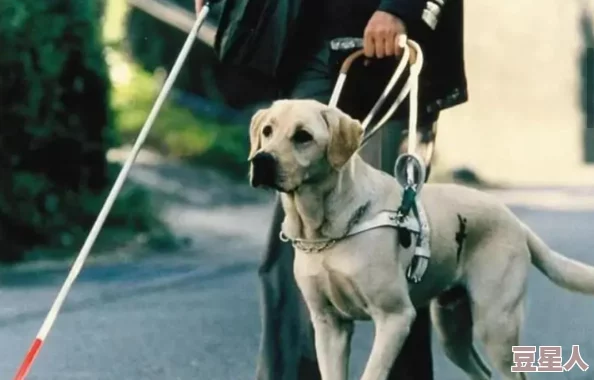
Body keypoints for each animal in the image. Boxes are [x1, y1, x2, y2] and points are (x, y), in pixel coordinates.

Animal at [245, 98, 592, 380]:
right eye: (268, 131)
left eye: (303, 136)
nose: (260, 161)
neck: (326, 230)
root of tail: (515, 220)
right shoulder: (330, 325)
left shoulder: (395, 317)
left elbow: (372, 373)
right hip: (452, 330)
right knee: (481, 372)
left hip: (496, 325)